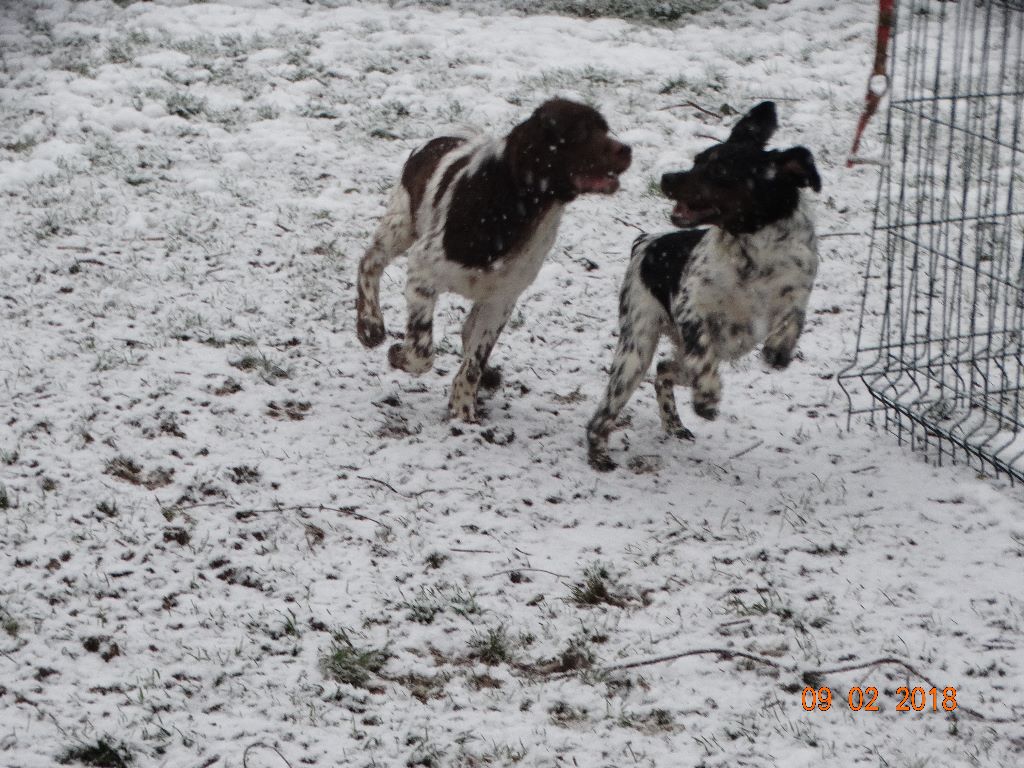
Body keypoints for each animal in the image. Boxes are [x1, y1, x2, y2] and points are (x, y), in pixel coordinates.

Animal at [360, 99, 630, 423]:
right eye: (579, 132)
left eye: (604, 128)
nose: (626, 150)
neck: (515, 209)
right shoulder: (423, 272)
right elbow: (421, 353)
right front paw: (397, 354)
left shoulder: (502, 298)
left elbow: (475, 357)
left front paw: (463, 409)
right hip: (400, 223)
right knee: (370, 262)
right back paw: (369, 326)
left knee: (468, 331)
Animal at [589, 100, 819, 468]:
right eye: (698, 160)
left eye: (720, 170)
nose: (667, 178)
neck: (752, 253)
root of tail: (645, 241)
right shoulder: (691, 306)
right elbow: (702, 348)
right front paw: (708, 396)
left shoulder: (798, 289)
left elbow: (793, 319)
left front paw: (778, 351)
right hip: (635, 349)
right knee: (608, 408)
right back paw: (598, 453)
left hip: (682, 358)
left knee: (664, 369)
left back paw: (674, 424)